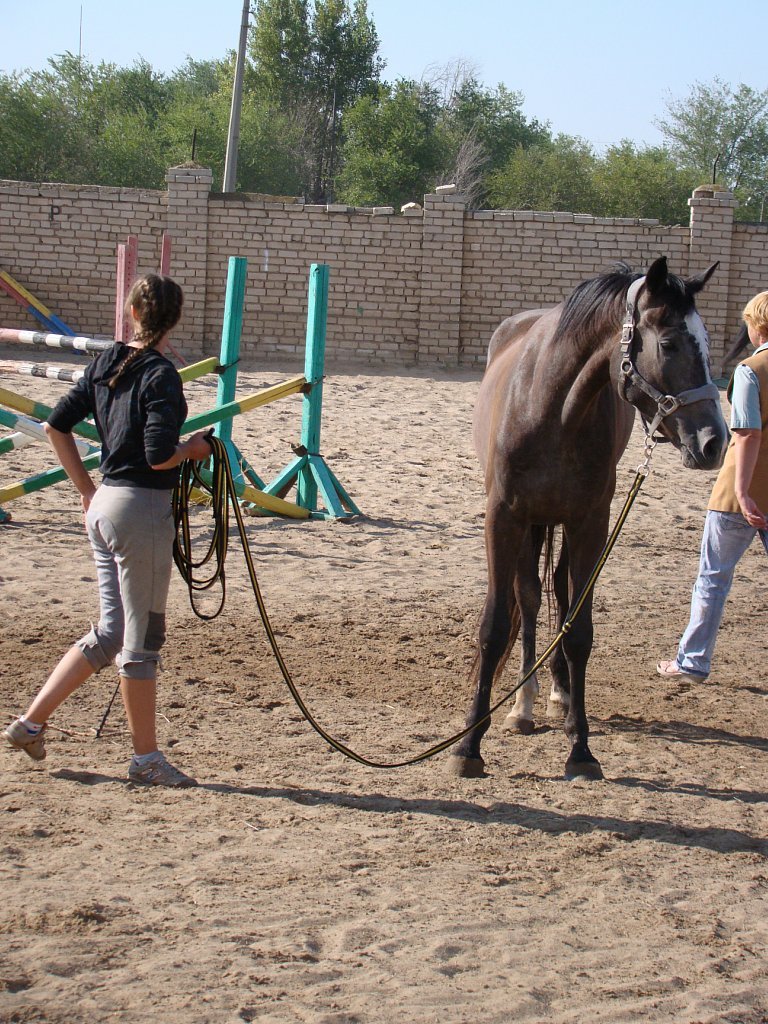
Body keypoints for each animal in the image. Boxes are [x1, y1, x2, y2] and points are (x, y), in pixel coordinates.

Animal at [454, 260, 729, 778]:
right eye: (669, 343)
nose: (713, 442)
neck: (553, 408)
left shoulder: (591, 523)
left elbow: (578, 631)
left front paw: (579, 748)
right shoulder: (504, 518)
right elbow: (497, 625)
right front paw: (468, 747)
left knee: (560, 592)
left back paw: (559, 693)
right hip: (532, 524)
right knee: (531, 596)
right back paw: (523, 703)